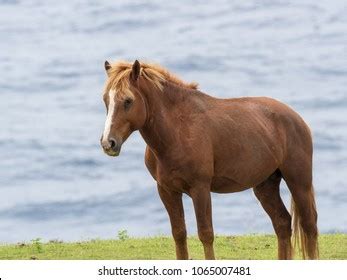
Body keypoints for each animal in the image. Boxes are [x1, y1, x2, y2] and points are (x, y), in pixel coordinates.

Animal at [99, 59, 320, 260]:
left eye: (128, 101)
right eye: (105, 100)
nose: (108, 143)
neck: (178, 130)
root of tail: (297, 118)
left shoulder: (200, 189)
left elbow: (206, 234)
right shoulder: (167, 190)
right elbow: (179, 234)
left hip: (298, 182)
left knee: (309, 225)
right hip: (266, 185)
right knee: (282, 224)